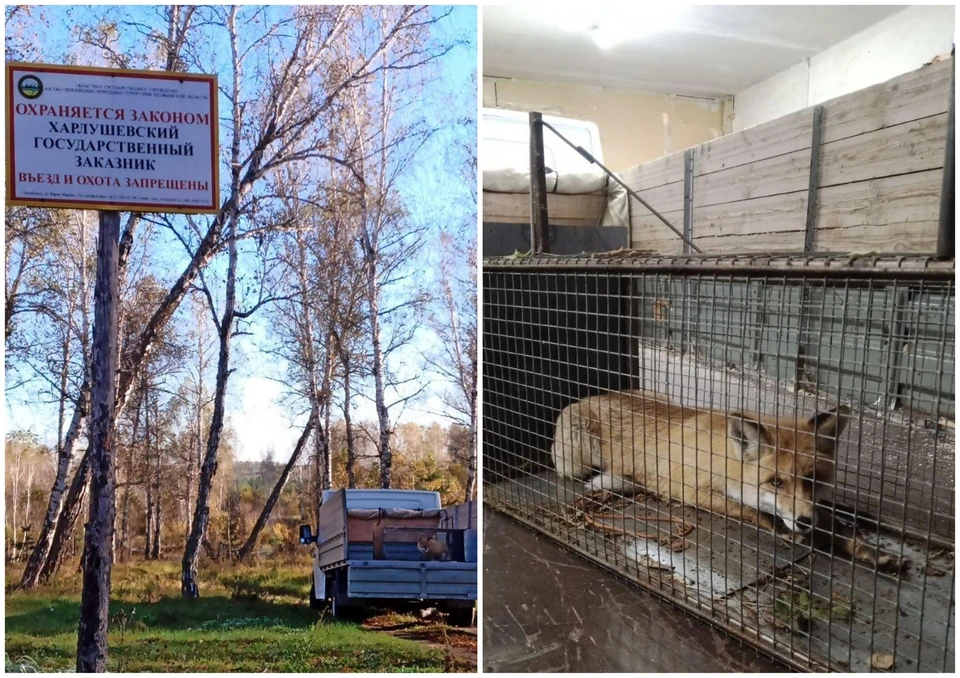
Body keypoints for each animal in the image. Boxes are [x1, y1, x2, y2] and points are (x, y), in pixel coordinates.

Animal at [556, 390, 908, 576]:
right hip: (576, 457)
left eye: (813, 480)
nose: (803, 522)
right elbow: (751, 510)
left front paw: (870, 552)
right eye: (776, 482)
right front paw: (782, 529)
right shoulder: (691, 489)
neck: (723, 457)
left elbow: (834, 525)